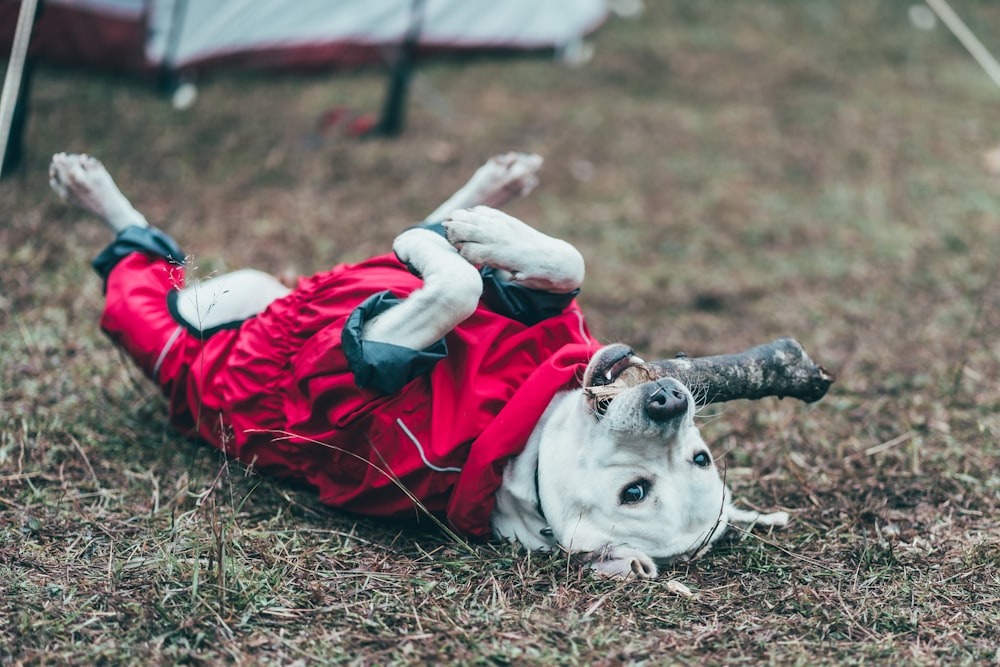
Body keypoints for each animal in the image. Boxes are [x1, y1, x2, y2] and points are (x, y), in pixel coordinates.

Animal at [50, 151, 784, 580]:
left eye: (635, 493)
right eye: (702, 456)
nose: (670, 400)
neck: (516, 422)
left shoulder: (351, 384)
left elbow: (452, 288)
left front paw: (452, 251)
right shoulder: (529, 306)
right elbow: (560, 263)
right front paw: (484, 234)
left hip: (172, 331)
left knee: (138, 268)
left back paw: (88, 187)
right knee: (424, 226)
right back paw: (485, 195)